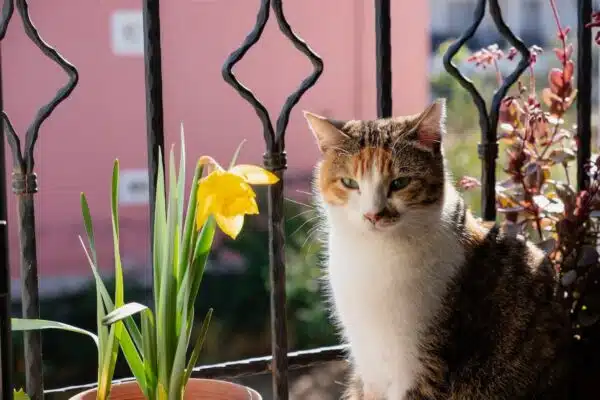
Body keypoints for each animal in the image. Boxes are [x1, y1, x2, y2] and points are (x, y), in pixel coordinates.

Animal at [308, 98, 576, 398]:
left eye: (400, 183)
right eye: (349, 183)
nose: (373, 215)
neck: (373, 253)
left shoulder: (424, 365)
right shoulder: (369, 364)